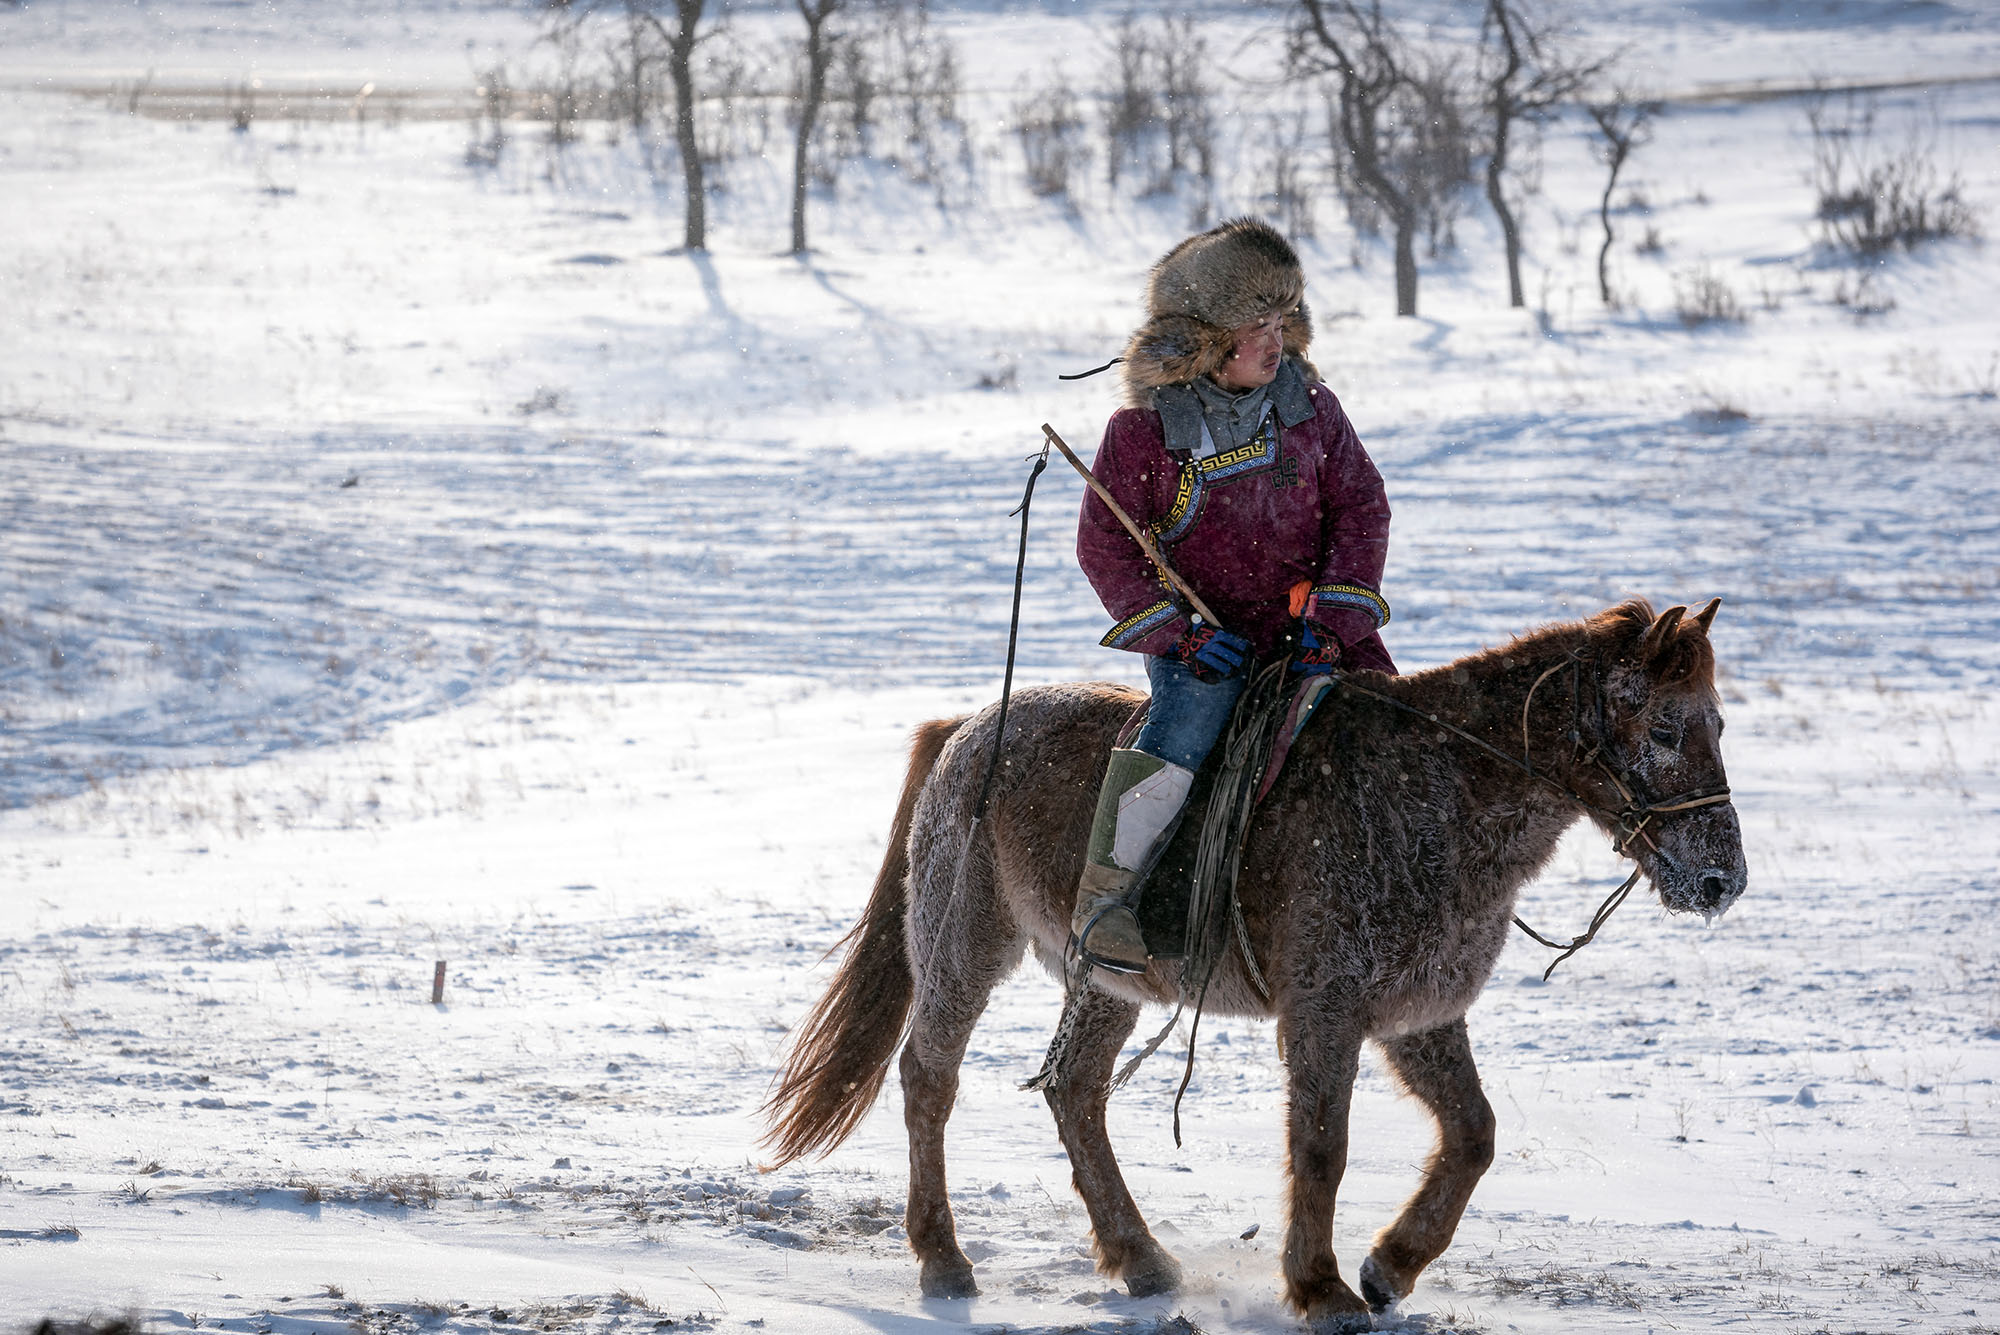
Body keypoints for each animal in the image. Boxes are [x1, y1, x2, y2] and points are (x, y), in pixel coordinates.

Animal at [756, 599, 1744, 1327]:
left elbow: (1474, 1134)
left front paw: (1390, 1267)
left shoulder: (1419, 1016)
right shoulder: (1326, 1008)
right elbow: (1322, 1145)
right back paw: (945, 1260)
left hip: (1106, 981)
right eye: (1664, 727)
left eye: (1718, 723)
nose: (1721, 877)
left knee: (1074, 1090)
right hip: (965, 942)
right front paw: (1323, 1288)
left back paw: (1143, 1259)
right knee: (929, 1078)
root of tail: (965, 730)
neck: (1434, 790)